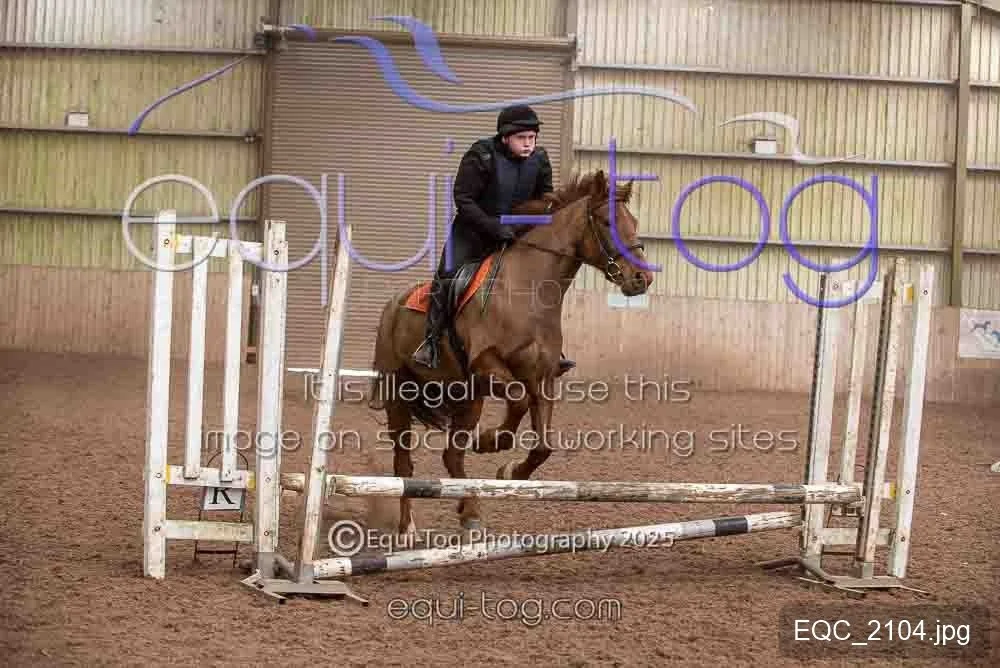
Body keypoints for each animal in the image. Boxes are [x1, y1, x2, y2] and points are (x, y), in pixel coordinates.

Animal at [367, 168, 655, 540]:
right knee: (403, 463)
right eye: (607, 222)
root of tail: (393, 304)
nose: (642, 278)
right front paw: (492, 442)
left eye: (633, 222)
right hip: (398, 396)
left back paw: (471, 513)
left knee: (452, 457)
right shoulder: (486, 365)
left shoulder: (542, 378)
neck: (529, 292)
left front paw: (512, 471)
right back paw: (407, 528)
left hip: (467, 398)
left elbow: (543, 446)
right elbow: (517, 400)